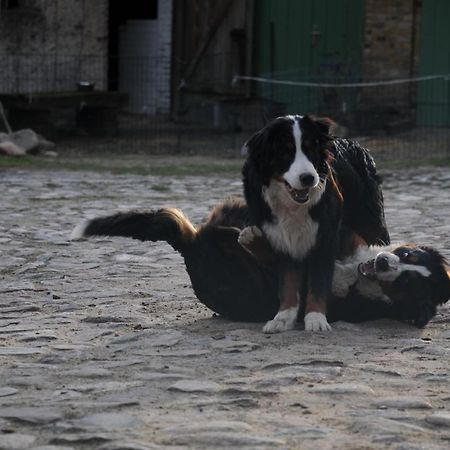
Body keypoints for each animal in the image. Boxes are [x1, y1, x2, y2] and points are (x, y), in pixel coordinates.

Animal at [243, 114, 390, 332]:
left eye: (310, 149)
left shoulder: (325, 235)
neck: (293, 206)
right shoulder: (282, 237)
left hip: (371, 222)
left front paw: (316, 319)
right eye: (285, 152)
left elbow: (318, 282)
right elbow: (288, 282)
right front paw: (283, 317)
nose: (308, 178)